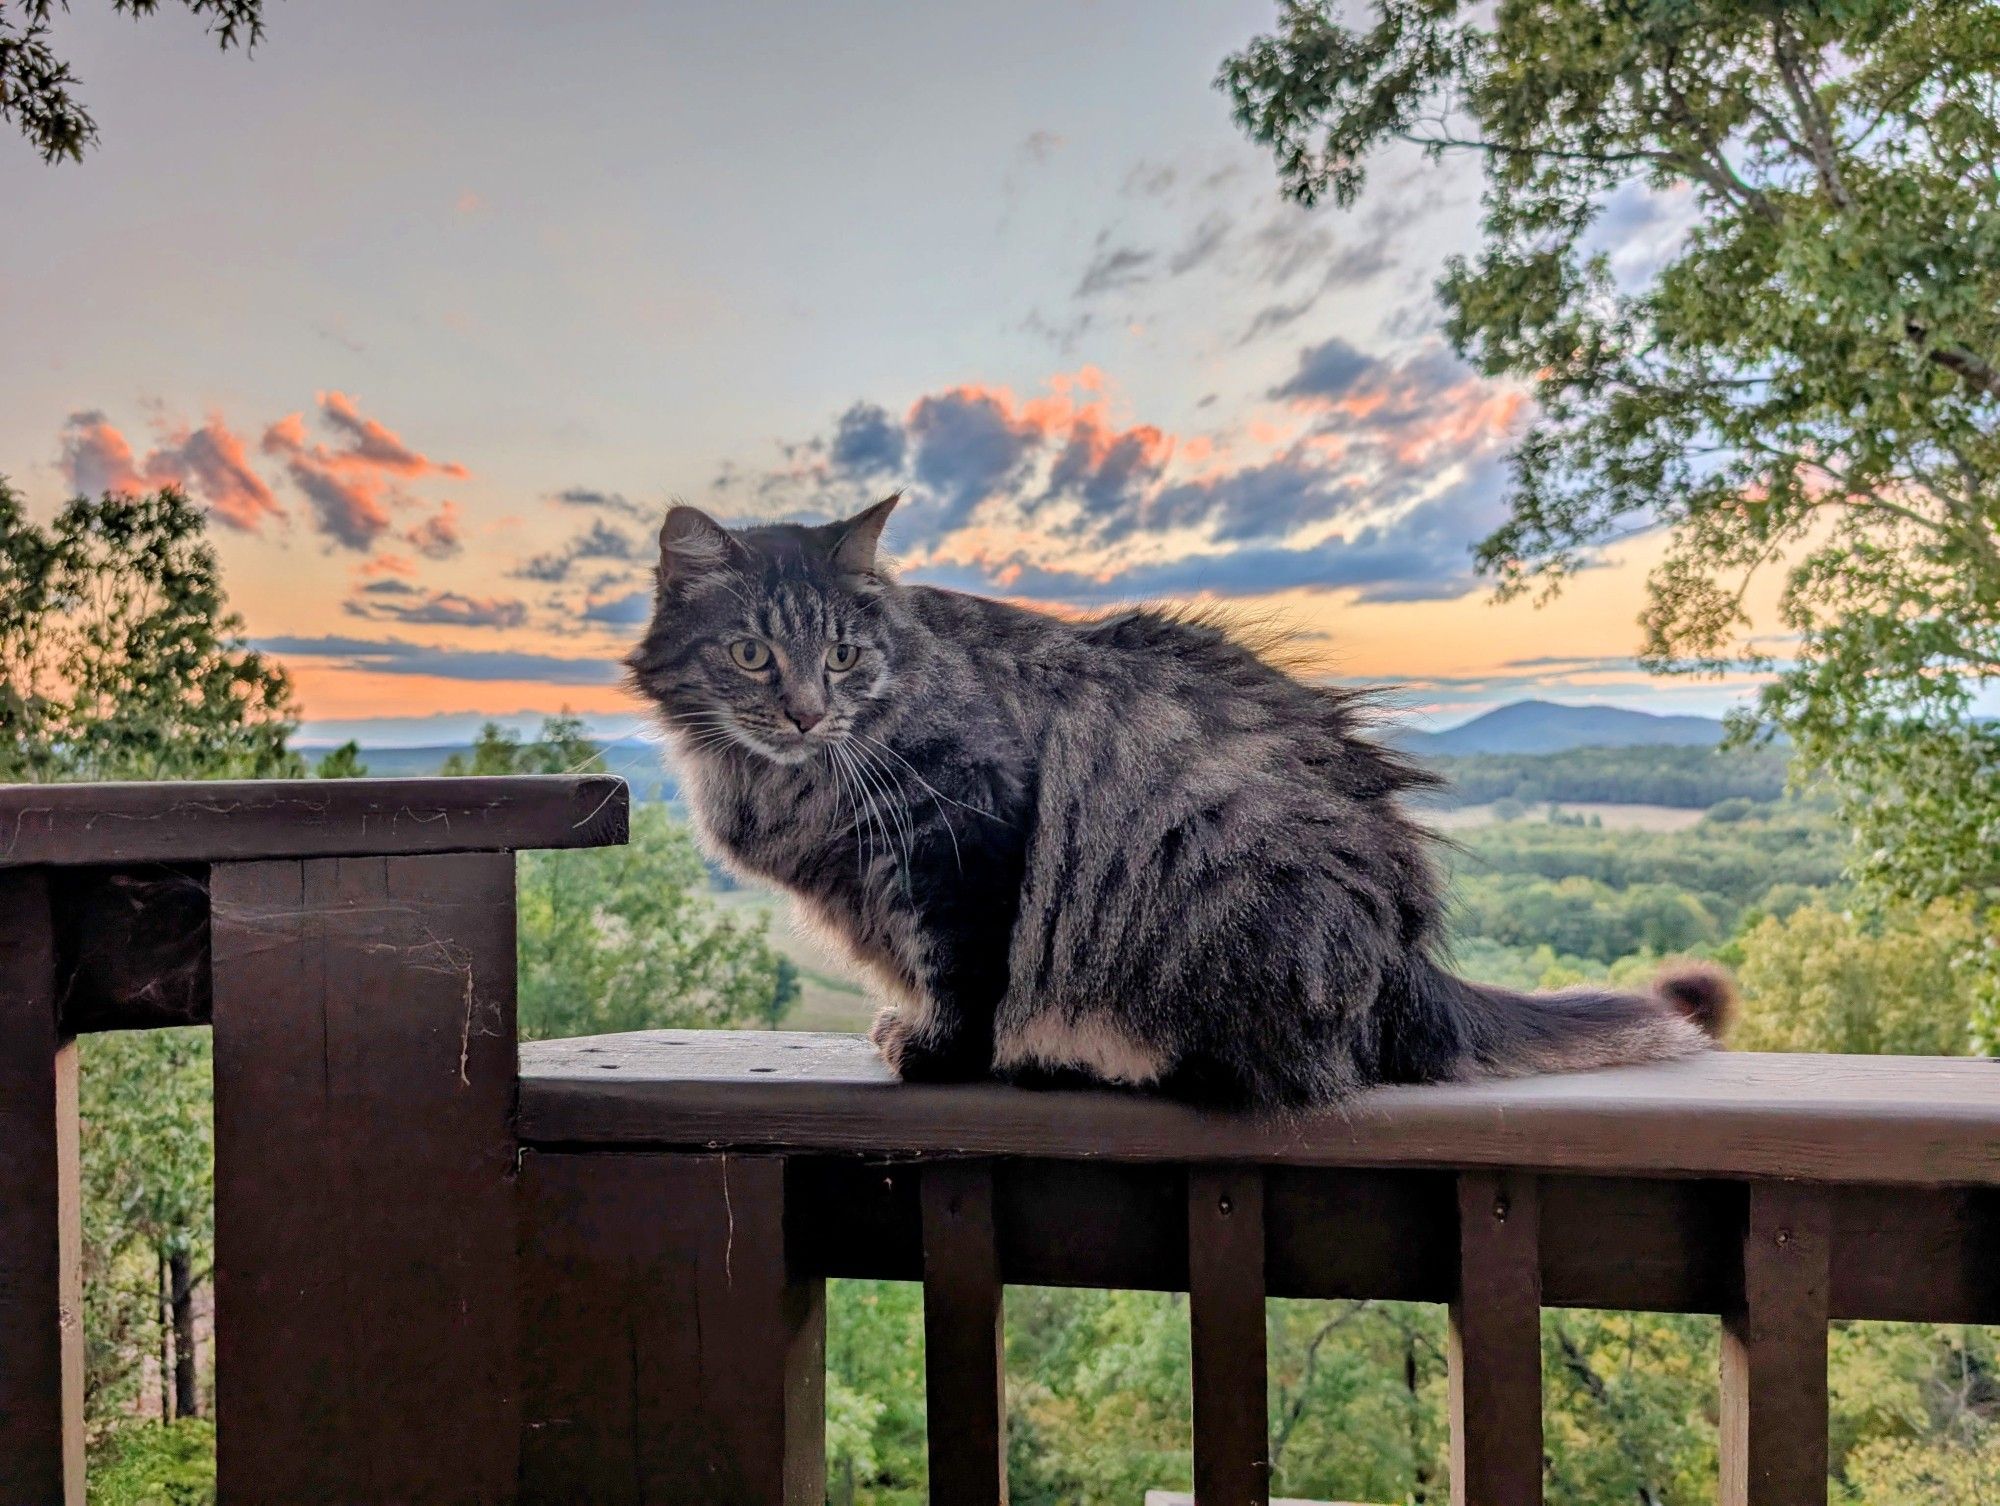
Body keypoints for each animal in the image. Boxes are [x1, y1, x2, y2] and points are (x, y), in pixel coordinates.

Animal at [628, 494, 1736, 1104]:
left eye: (844, 657)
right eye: (753, 655)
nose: (806, 713)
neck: (792, 780)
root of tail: (1406, 959)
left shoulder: (969, 837)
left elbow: (964, 973)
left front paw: (939, 1054)